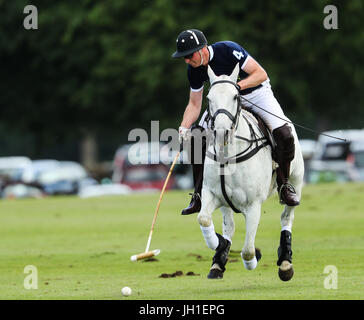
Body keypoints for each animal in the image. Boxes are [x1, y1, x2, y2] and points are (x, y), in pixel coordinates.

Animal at [196, 63, 304, 282]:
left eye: (235, 97)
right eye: (209, 98)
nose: (221, 133)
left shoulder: (253, 204)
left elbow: (247, 250)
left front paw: (253, 260)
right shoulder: (212, 194)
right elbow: (204, 219)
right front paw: (219, 246)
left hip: (297, 180)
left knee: (286, 217)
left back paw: (285, 263)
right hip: (225, 203)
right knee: (229, 225)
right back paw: (218, 263)